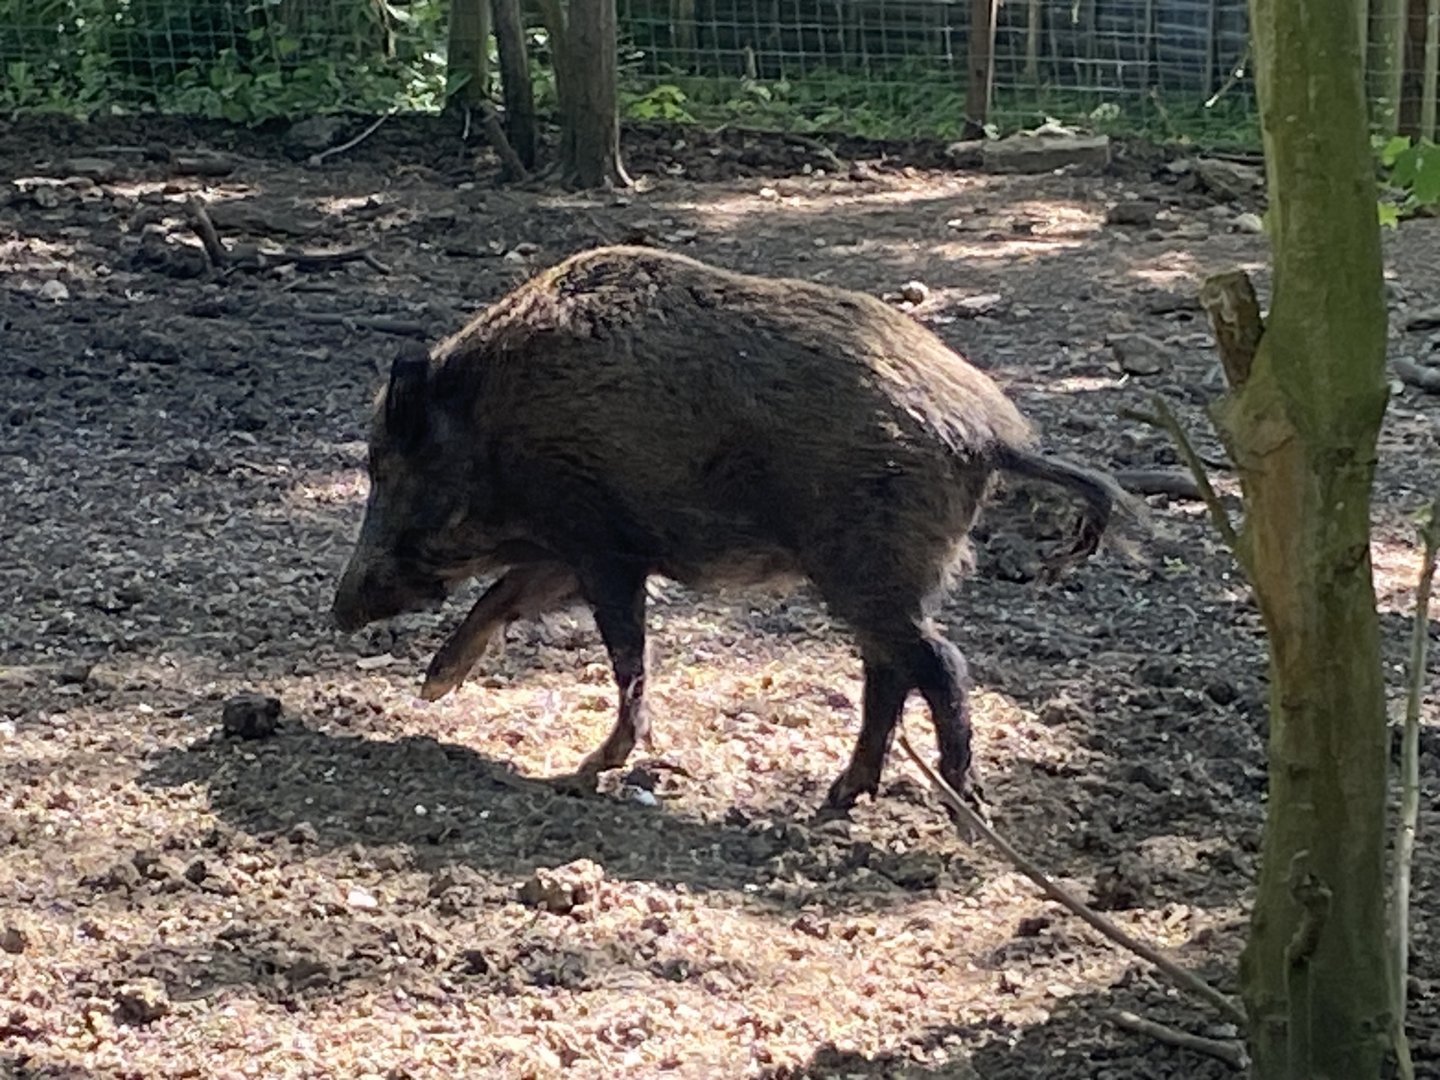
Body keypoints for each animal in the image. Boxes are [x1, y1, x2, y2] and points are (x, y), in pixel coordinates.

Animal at [331, 245, 1137, 815]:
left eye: (385, 467)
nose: (339, 610)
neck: (493, 426)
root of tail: (988, 435)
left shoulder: (601, 543)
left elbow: (626, 656)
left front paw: (588, 770)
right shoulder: (575, 546)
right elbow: (499, 597)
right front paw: (436, 686)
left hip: (869, 566)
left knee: (937, 664)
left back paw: (959, 805)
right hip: (877, 578)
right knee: (889, 671)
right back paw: (841, 796)